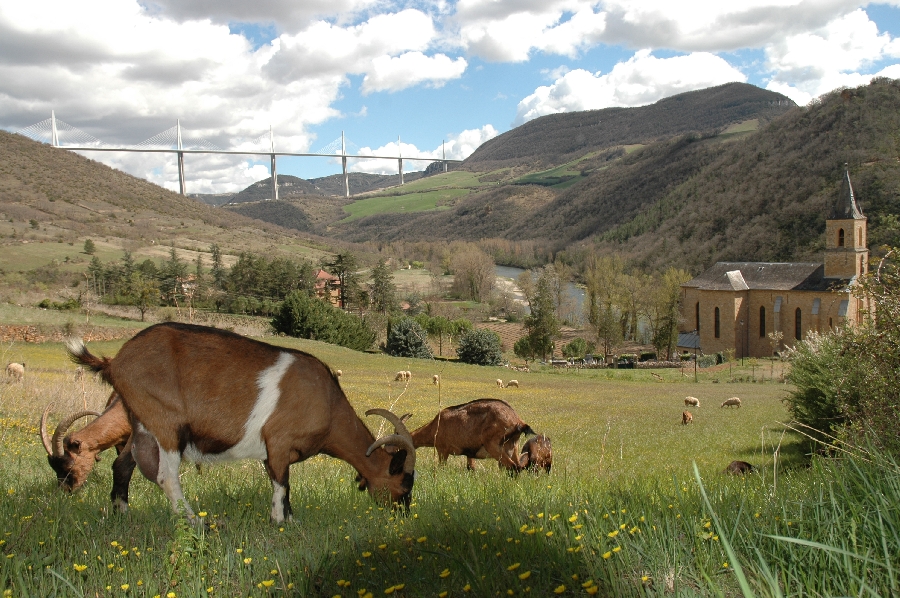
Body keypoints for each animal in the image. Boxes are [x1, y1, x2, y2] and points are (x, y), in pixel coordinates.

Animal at [68, 324, 416, 524]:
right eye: (404, 484)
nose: (403, 515)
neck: (328, 403)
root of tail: (115, 361)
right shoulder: (279, 442)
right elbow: (282, 485)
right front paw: (281, 522)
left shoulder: (272, 453)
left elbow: (280, 485)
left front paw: (290, 519)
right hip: (165, 424)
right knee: (166, 476)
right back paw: (195, 521)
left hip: (137, 422)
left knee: (123, 464)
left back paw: (123, 513)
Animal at [406, 400, 536, 476]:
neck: (435, 426)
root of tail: (518, 421)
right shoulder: (470, 452)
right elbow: (471, 468)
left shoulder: (442, 450)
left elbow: (442, 466)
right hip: (513, 447)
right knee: (517, 466)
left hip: (494, 446)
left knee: (512, 467)